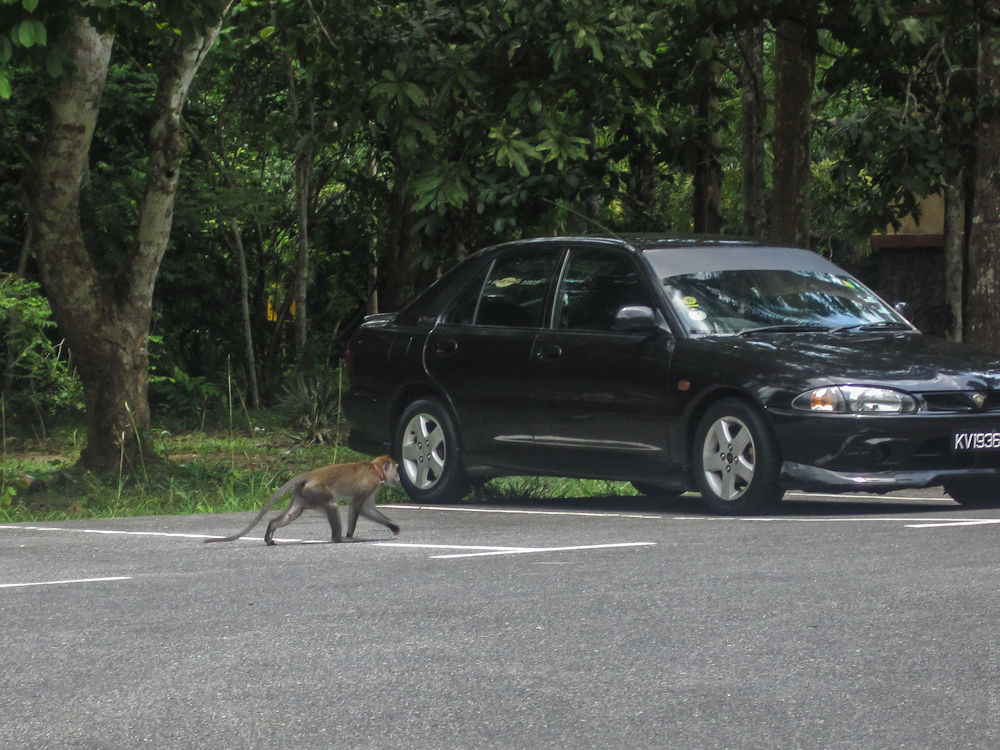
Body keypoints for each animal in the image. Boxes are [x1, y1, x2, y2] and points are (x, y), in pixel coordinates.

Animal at [202, 456, 398, 548]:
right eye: (396, 469)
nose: (397, 477)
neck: (375, 468)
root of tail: (310, 475)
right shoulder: (371, 483)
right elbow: (357, 506)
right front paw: (350, 535)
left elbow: (366, 508)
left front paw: (393, 526)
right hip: (317, 489)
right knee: (332, 504)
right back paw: (339, 538)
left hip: (305, 493)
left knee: (293, 513)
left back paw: (271, 528)